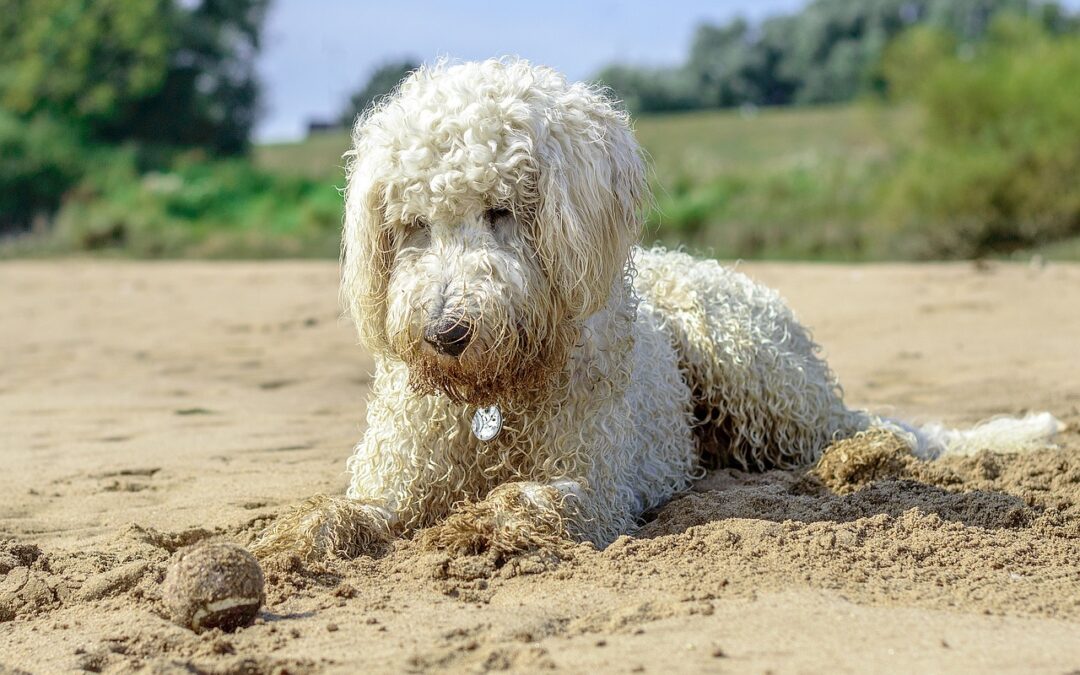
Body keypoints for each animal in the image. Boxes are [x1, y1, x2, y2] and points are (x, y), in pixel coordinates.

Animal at [252, 60, 1062, 561]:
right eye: (410, 225)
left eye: (502, 210)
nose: (446, 333)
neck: (494, 397)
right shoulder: (399, 474)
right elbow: (348, 509)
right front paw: (296, 536)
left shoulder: (600, 478)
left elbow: (542, 498)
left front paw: (484, 520)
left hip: (744, 360)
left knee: (861, 426)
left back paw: (861, 457)